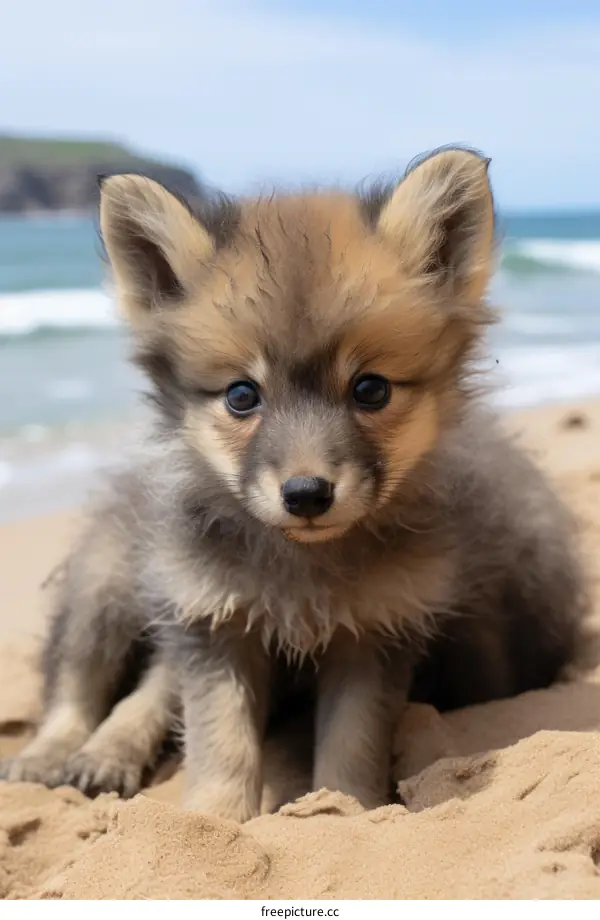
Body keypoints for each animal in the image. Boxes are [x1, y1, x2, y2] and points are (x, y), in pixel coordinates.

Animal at [0, 147, 589, 821]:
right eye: (241, 396)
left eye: (370, 389)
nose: (307, 494)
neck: (301, 579)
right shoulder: (212, 621)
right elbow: (220, 742)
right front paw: (214, 820)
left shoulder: (374, 634)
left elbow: (350, 746)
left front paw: (342, 813)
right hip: (105, 589)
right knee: (79, 686)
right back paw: (64, 753)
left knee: (148, 685)